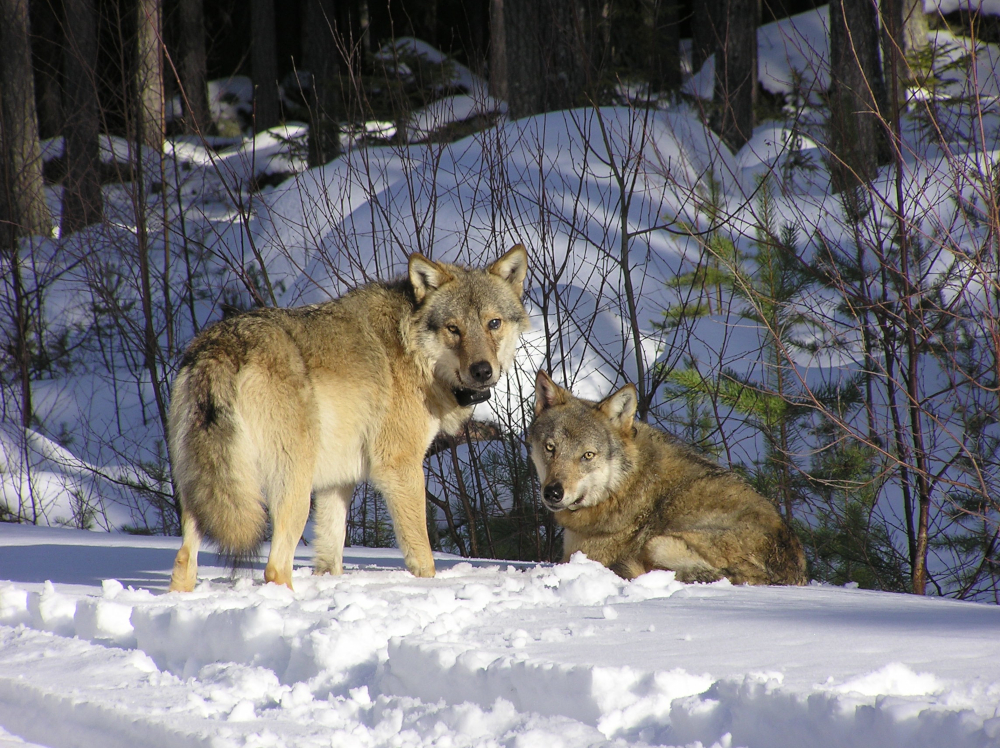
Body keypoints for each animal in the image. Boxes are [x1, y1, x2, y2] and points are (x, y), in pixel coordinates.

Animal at [170, 245, 532, 592]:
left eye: (494, 323)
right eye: (453, 329)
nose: (482, 371)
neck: (413, 350)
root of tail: (223, 345)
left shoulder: (337, 483)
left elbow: (330, 559)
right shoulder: (399, 466)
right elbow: (422, 554)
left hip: (208, 491)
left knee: (184, 559)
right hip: (293, 490)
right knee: (274, 568)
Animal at [528, 372, 808, 588]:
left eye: (587, 455)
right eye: (550, 448)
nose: (553, 492)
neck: (621, 488)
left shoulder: (582, 556)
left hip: (658, 543)